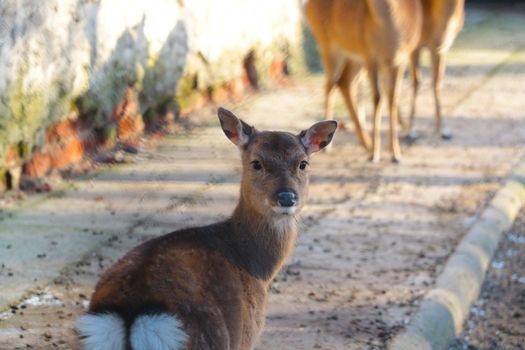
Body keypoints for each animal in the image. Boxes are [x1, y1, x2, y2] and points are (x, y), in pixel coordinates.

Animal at [74, 107, 336, 350]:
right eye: (256, 163)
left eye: (303, 163)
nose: (286, 197)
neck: (257, 269)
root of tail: (132, 312)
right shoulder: (246, 337)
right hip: (211, 340)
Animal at [308, 0, 422, 163]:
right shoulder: (370, 57)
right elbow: (377, 98)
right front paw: (375, 154)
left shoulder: (399, 60)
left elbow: (392, 100)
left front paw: (396, 154)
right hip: (330, 47)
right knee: (331, 84)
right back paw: (330, 147)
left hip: (354, 59)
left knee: (344, 82)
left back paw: (366, 144)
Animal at [404, 0, 464, 140]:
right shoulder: (414, 46)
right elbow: (416, 82)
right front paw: (410, 130)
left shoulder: (440, 47)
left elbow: (437, 82)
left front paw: (443, 130)